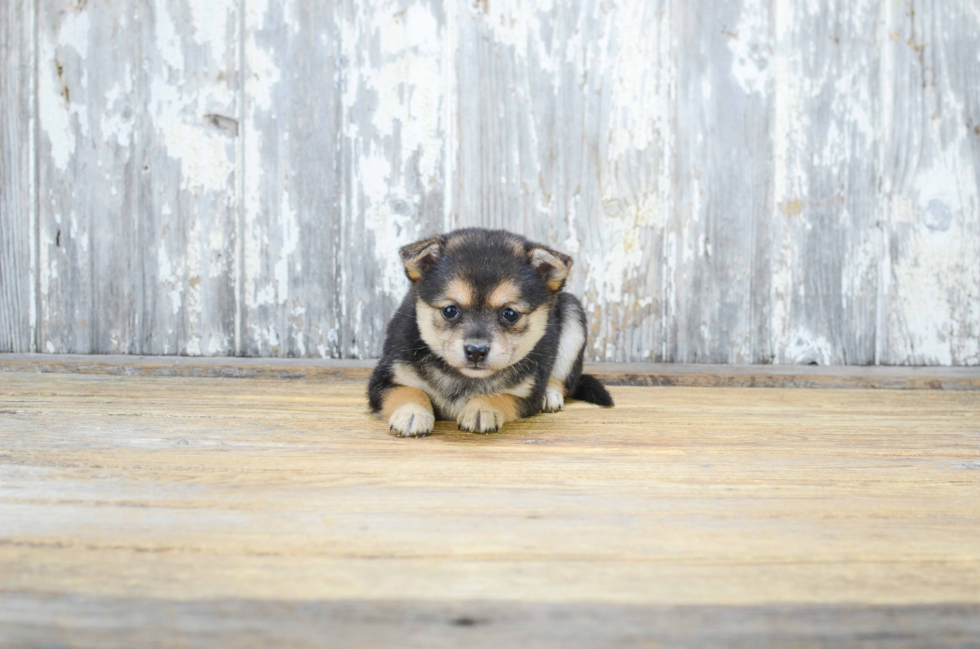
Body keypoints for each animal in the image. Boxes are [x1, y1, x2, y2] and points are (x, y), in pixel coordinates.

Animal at [368, 227, 612, 436]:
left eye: (510, 314)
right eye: (450, 310)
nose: (476, 351)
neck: (464, 378)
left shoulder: (526, 394)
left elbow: (499, 395)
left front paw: (481, 409)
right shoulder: (382, 380)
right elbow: (408, 391)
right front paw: (412, 412)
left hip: (573, 314)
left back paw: (550, 395)